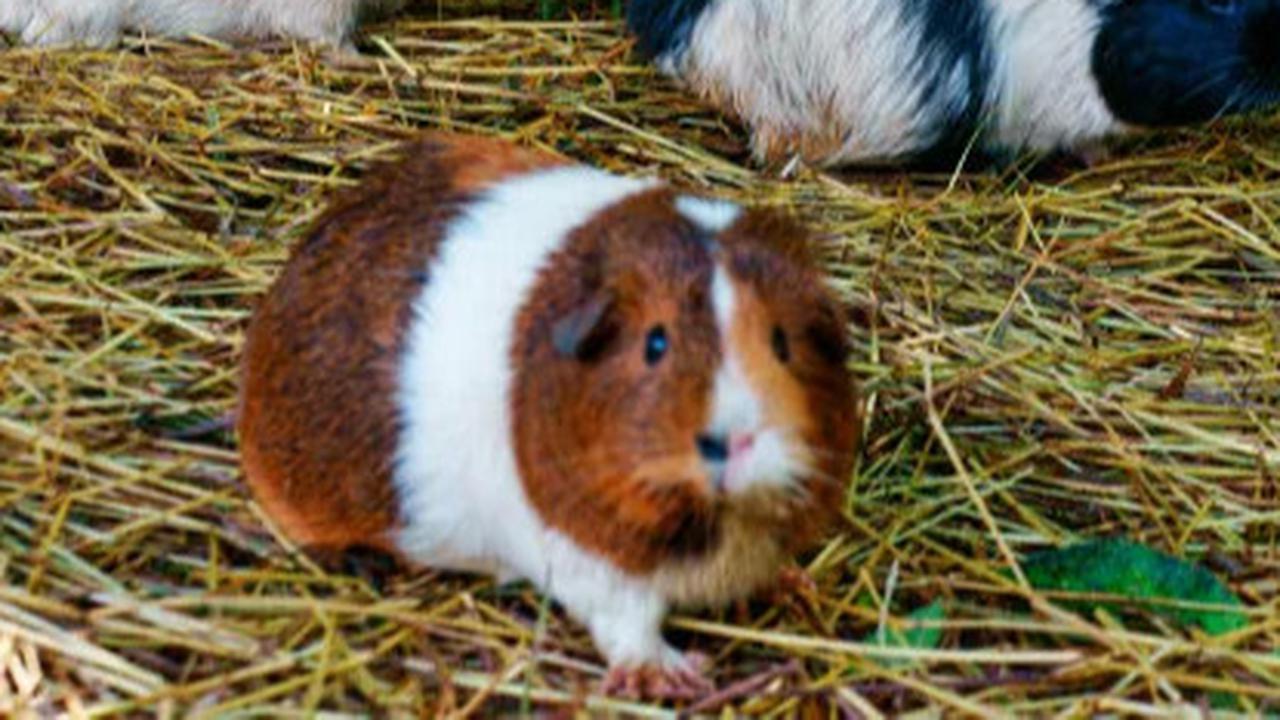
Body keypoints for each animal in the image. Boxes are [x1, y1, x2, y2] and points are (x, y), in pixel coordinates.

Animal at [236, 132, 861, 698]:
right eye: (655, 343)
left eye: (782, 343)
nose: (732, 440)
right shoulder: (588, 565)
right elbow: (628, 623)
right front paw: (673, 676)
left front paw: (797, 583)